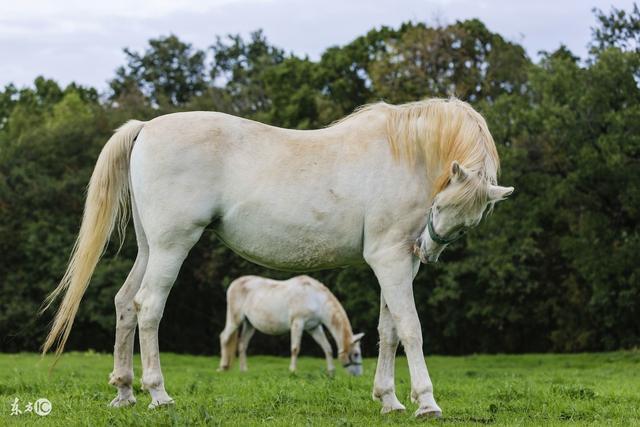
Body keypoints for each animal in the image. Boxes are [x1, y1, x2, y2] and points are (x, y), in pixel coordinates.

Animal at [218, 276, 364, 376]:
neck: (315, 297)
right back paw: (223, 367)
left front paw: (331, 371)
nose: (358, 374)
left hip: (249, 324)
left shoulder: (314, 327)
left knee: (242, 344)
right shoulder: (297, 323)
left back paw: (244, 370)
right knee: (224, 337)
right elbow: (295, 348)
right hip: (235, 319)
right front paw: (293, 370)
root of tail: (234, 283)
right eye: (356, 354)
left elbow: (327, 347)